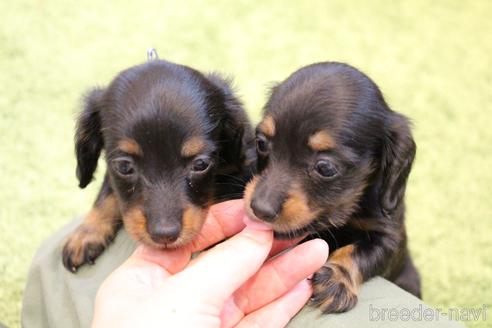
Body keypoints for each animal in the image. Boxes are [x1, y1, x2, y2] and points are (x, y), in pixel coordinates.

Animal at [244, 61, 420, 312]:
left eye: (325, 168)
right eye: (261, 143)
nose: (260, 208)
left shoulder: (390, 236)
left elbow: (361, 251)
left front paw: (337, 279)